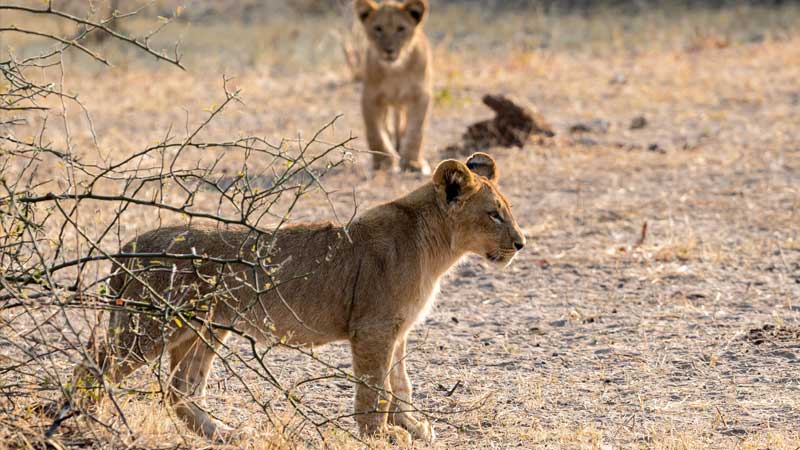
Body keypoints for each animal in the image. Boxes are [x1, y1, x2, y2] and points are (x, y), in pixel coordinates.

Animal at [75, 153, 525, 444]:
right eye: (493, 214)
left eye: (508, 210)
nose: (521, 244)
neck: (438, 245)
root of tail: (129, 246)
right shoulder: (374, 328)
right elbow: (374, 388)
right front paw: (379, 434)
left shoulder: (398, 330)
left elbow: (401, 385)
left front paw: (413, 428)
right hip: (151, 326)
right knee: (96, 364)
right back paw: (81, 420)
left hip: (203, 328)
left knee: (181, 390)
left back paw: (227, 433)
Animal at [354, 0, 433, 174]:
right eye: (378, 28)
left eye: (400, 29)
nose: (389, 50)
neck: (395, 71)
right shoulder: (370, 98)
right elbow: (375, 132)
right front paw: (383, 162)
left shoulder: (420, 96)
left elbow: (416, 131)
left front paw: (412, 162)